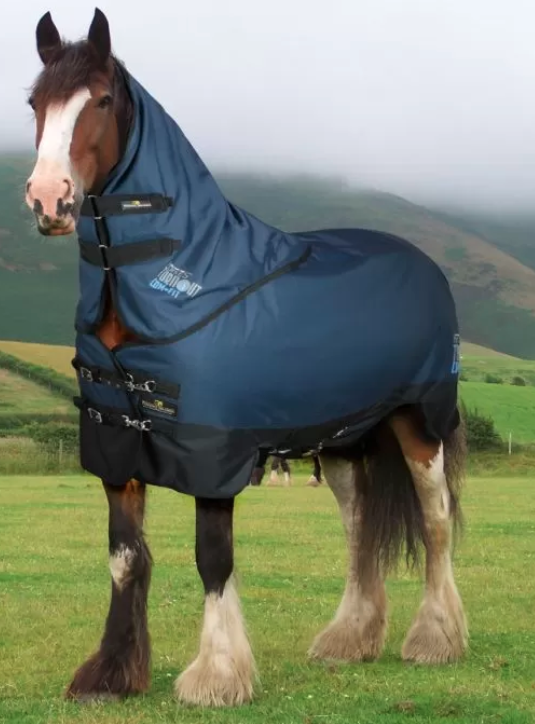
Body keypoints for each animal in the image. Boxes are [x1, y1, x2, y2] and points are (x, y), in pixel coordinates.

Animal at [24, 8, 468, 707]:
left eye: (99, 100)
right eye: (35, 103)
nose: (49, 200)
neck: (184, 276)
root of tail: (422, 262)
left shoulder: (214, 452)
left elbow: (213, 558)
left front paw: (216, 675)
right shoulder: (115, 450)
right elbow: (125, 557)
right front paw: (110, 675)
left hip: (419, 423)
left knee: (437, 520)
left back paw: (435, 639)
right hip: (342, 442)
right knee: (358, 529)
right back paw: (349, 638)